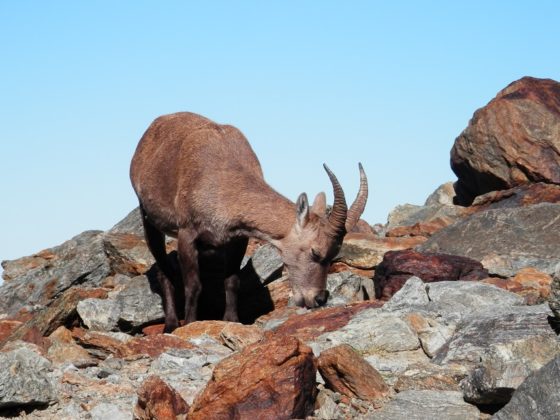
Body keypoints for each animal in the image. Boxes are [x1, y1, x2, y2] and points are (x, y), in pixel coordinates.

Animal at [130, 112, 368, 332]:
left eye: (334, 254)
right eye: (315, 252)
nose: (318, 299)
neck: (223, 182)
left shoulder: (238, 238)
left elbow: (232, 281)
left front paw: (232, 321)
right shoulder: (187, 233)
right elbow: (193, 284)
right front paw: (190, 324)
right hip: (148, 218)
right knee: (164, 270)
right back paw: (171, 324)